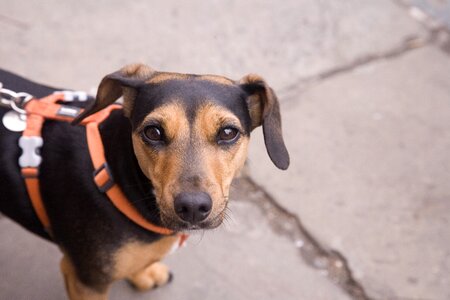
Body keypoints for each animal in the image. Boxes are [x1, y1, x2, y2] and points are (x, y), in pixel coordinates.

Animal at [0, 64, 288, 298]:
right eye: (153, 132)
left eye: (228, 132)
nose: (193, 207)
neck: (115, 175)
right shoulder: (86, 281)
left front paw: (143, 273)